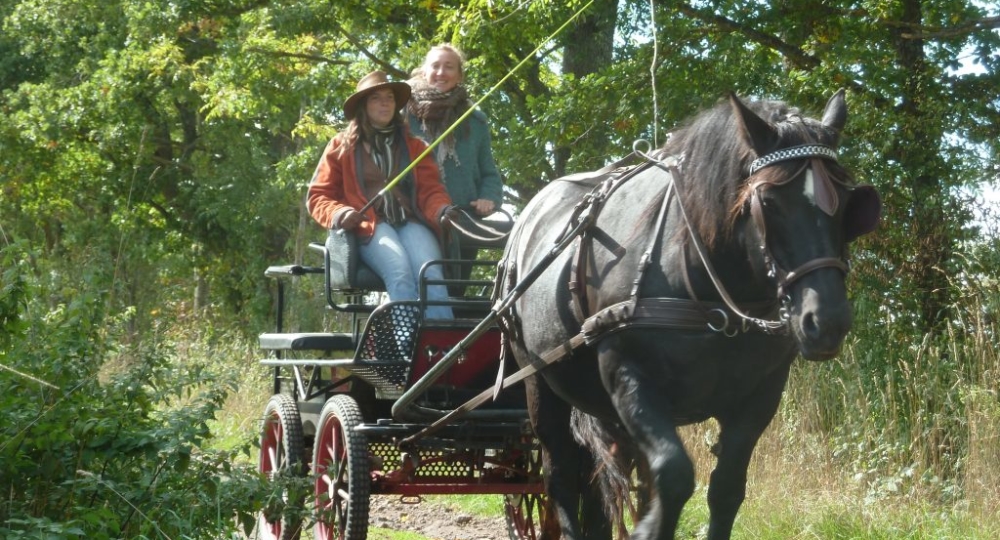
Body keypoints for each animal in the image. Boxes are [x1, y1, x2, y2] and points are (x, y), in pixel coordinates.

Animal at [496, 90, 880, 536]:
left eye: (849, 203)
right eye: (768, 202)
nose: (828, 322)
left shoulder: (759, 396)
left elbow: (726, 488)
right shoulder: (629, 376)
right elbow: (674, 475)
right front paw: (649, 527)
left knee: (596, 478)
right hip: (540, 383)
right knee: (560, 475)